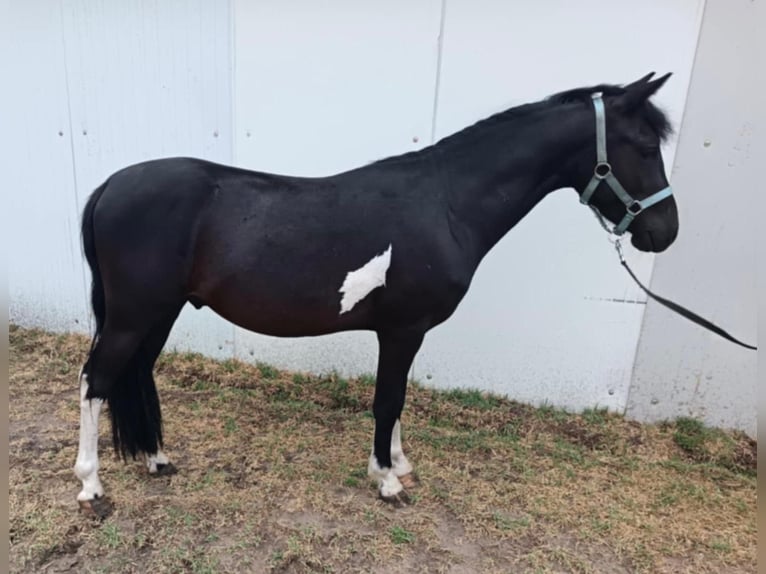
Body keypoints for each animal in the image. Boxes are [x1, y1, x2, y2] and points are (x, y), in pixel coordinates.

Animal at [74, 72, 678, 518]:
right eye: (646, 145)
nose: (665, 232)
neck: (446, 204)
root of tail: (108, 187)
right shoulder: (403, 328)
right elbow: (388, 399)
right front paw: (388, 481)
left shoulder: (406, 332)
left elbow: (400, 397)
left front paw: (399, 463)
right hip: (133, 314)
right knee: (94, 381)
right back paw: (91, 487)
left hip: (158, 312)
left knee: (137, 372)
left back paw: (156, 460)